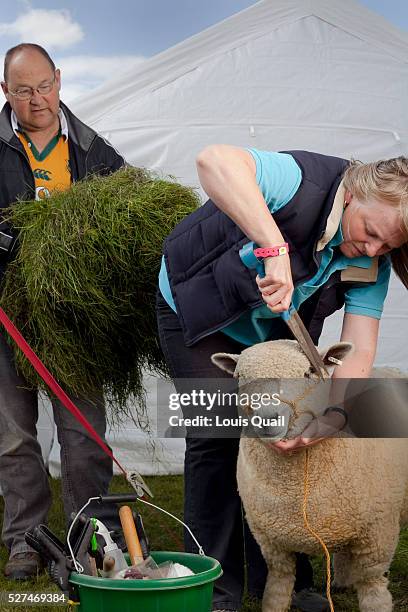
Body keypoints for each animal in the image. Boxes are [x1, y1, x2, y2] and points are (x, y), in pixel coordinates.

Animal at [212, 340, 406, 612]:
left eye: (309, 372)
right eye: (240, 376)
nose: (267, 418)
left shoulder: (377, 535)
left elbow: (373, 591)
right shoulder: (270, 542)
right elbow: (278, 587)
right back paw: (341, 581)